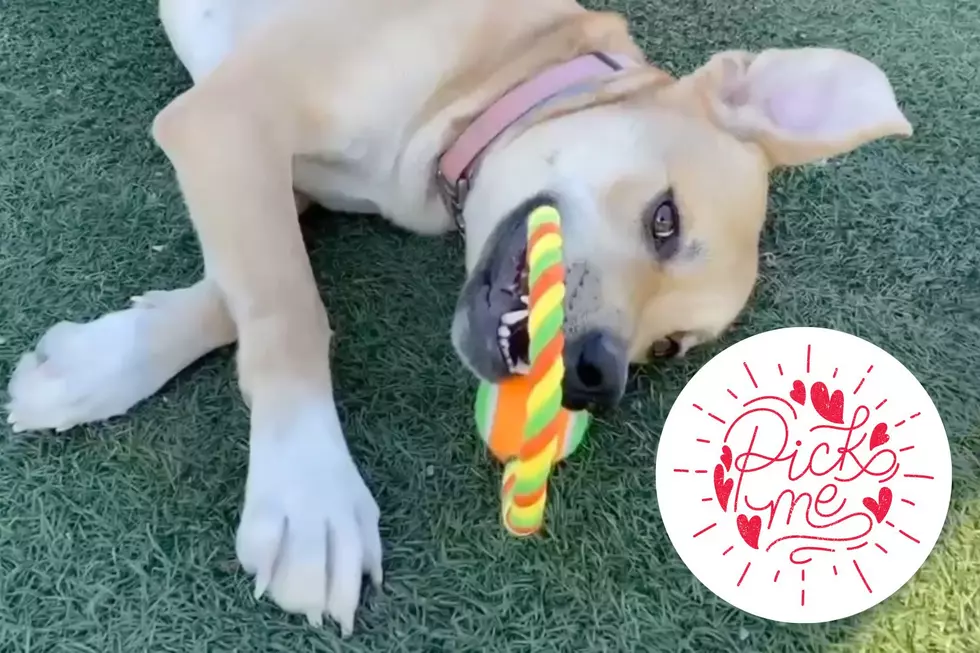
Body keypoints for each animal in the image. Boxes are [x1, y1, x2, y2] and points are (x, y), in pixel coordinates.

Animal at [5, 0, 912, 636]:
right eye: (665, 219)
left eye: (664, 350)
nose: (597, 378)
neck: (503, 75)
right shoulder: (228, 118)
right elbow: (290, 305)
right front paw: (309, 492)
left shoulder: (282, 176)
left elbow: (246, 295)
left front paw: (98, 364)